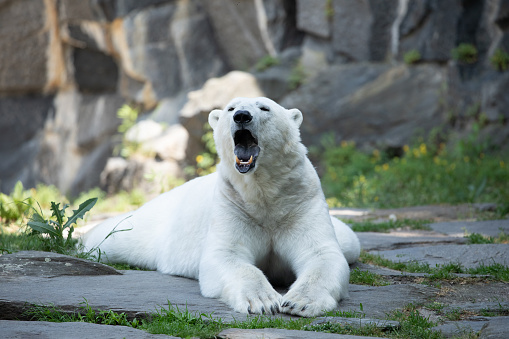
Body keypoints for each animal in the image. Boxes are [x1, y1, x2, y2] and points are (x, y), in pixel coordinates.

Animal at [83, 97, 360, 318]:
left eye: (265, 108)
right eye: (231, 108)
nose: (242, 116)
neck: (263, 192)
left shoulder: (299, 201)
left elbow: (321, 253)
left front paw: (298, 303)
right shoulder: (232, 202)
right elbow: (227, 254)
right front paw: (263, 301)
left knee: (350, 242)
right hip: (149, 225)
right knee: (113, 236)